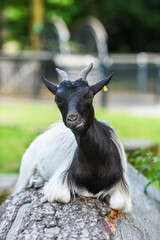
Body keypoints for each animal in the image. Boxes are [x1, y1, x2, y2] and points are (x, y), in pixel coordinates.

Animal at [13, 63, 131, 212]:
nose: (73, 119)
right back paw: (36, 181)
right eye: (57, 99)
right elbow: (62, 196)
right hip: (27, 165)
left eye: (89, 96)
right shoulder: (59, 183)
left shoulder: (122, 189)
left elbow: (118, 204)